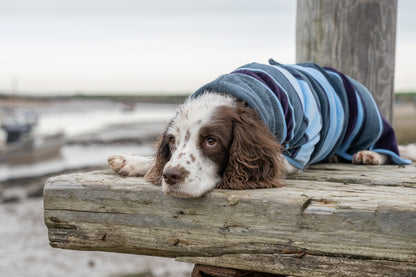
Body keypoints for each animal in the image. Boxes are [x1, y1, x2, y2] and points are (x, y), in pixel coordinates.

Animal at [106, 61, 412, 197]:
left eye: (211, 141)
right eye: (172, 141)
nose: (170, 176)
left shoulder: (292, 154)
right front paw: (132, 162)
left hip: (370, 125)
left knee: (392, 150)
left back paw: (369, 155)